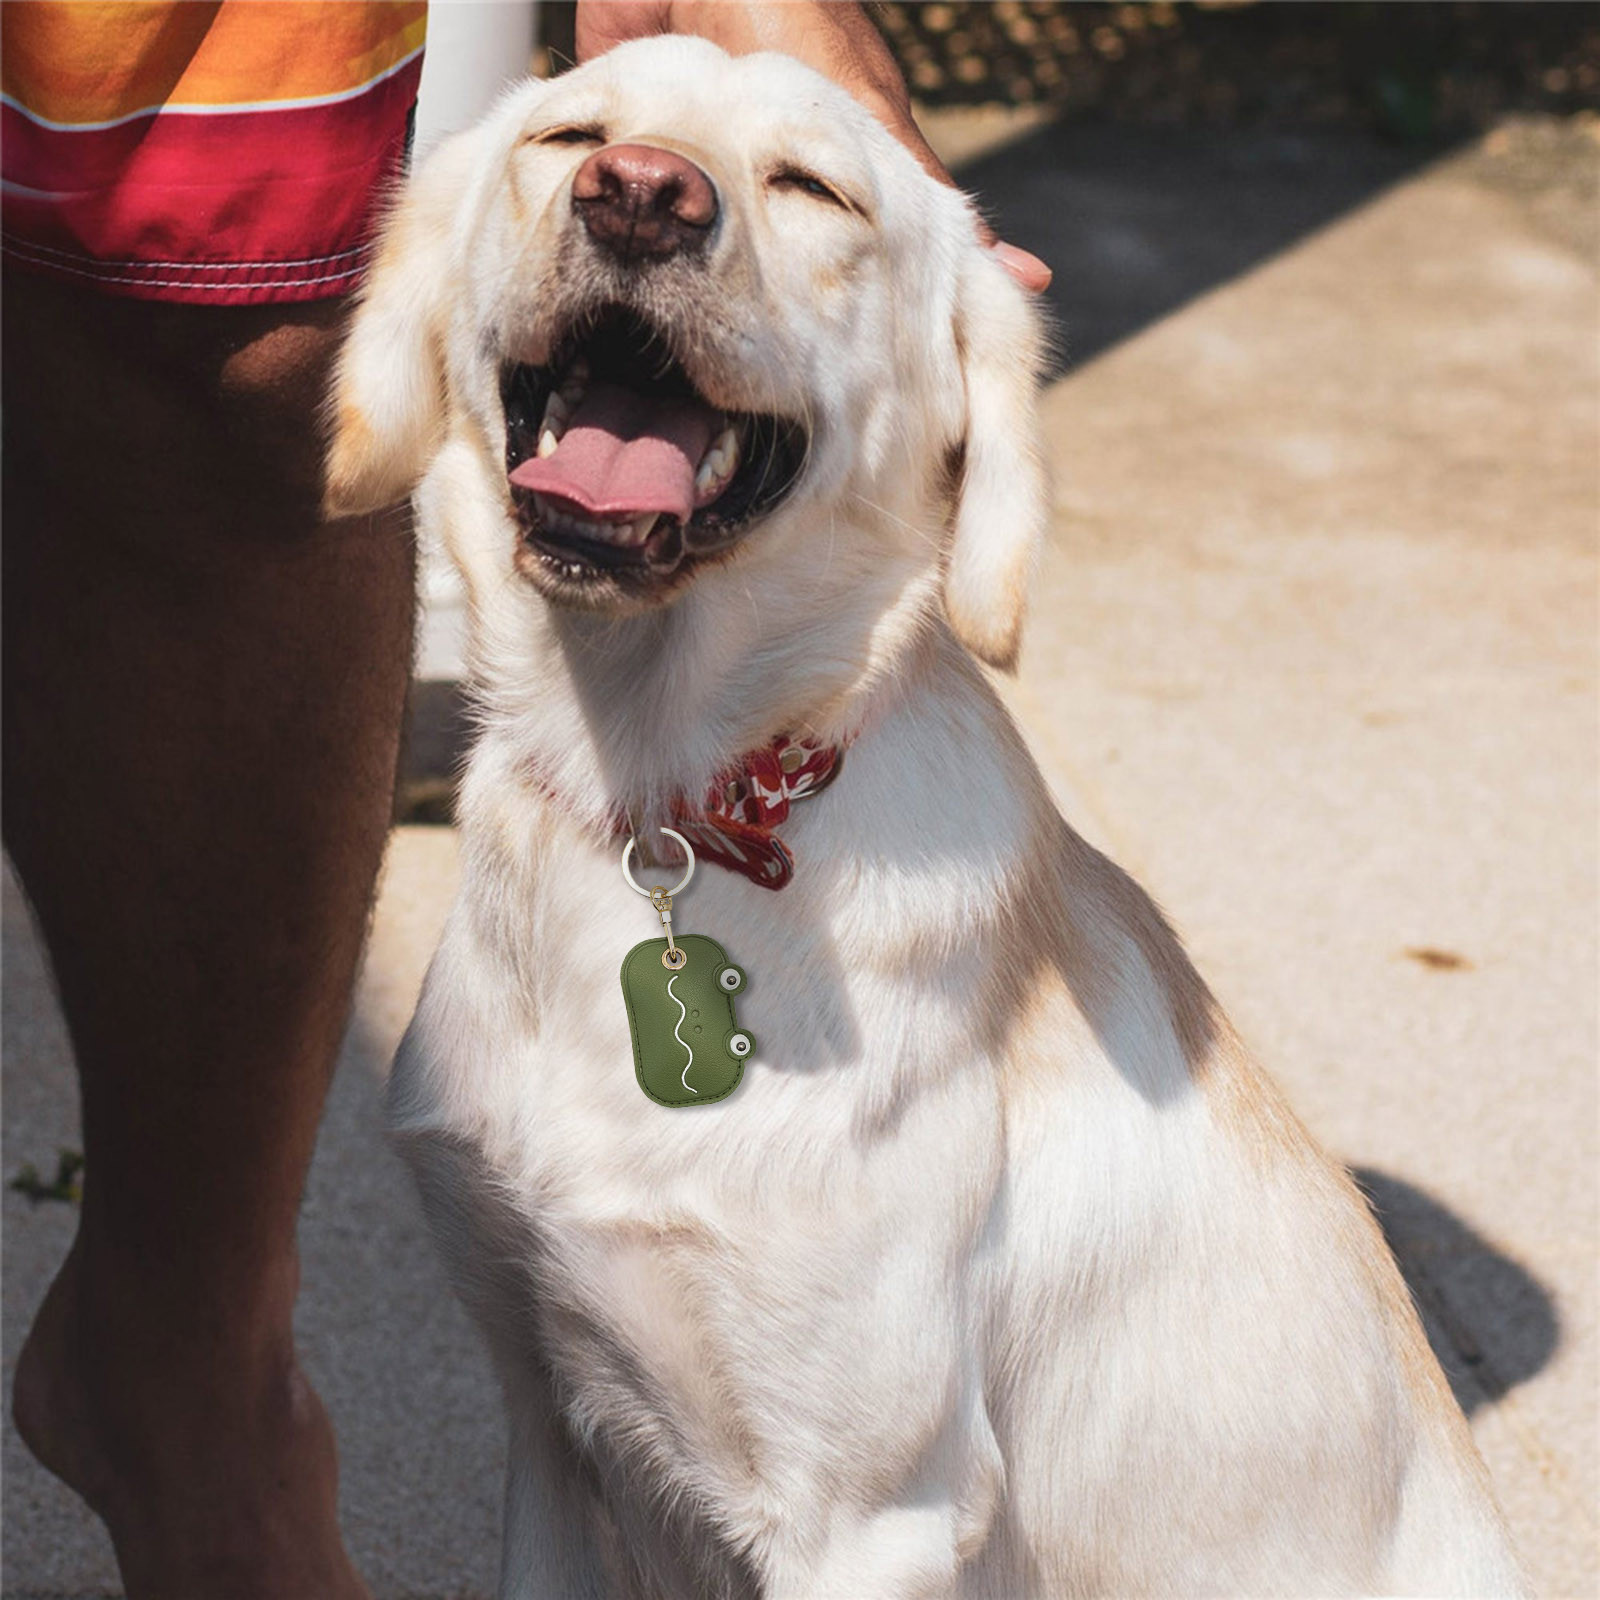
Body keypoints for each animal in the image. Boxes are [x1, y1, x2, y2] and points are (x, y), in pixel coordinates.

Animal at [325, 37, 1526, 1599]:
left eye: (811, 187)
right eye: (570, 134)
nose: (640, 196)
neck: (659, 794)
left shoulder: (868, 1511)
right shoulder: (548, 1427)